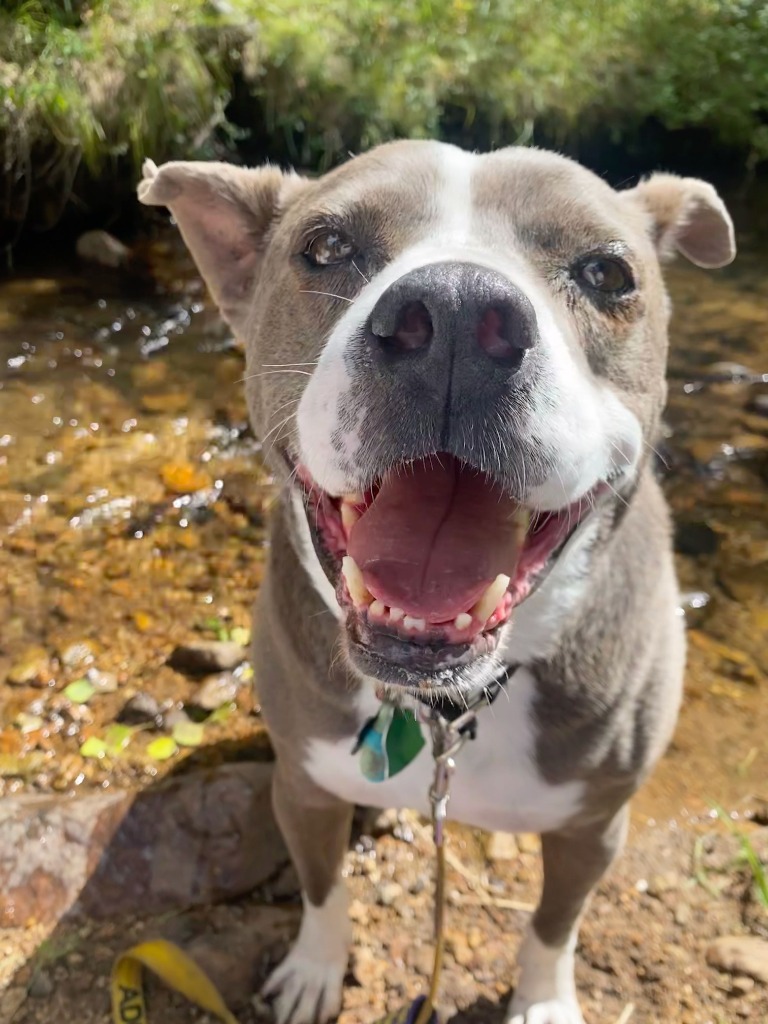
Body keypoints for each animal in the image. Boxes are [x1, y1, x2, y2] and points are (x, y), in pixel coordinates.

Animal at [137, 142, 733, 1024]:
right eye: (325, 246)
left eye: (608, 273)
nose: (453, 313)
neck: (450, 708)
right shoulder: (303, 784)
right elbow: (322, 888)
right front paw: (315, 969)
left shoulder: (594, 825)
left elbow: (554, 926)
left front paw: (543, 1002)